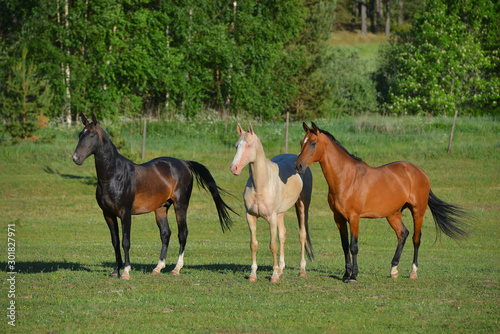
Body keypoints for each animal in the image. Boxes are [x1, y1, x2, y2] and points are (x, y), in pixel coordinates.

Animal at [72, 114, 236, 280]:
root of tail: (184, 163)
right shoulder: (108, 214)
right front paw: (115, 271)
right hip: (161, 208)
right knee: (165, 234)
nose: (76, 158)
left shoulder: (125, 213)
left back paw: (176, 268)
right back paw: (158, 268)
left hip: (180, 205)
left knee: (182, 234)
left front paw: (125, 272)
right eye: (80, 135)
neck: (115, 175)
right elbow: (115, 242)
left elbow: (125, 241)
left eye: (92, 135)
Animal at [229, 123, 312, 282]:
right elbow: (254, 244)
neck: (261, 185)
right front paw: (253, 274)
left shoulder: (271, 217)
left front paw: (273, 276)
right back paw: (281, 269)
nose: (234, 168)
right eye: (236, 146)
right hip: (281, 213)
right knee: (283, 235)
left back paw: (302, 270)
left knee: (302, 235)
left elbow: (273, 245)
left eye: (249, 145)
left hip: (302, 205)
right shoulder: (250, 216)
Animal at [294, 122, 466, 282]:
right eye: (302, 142)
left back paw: (413, 272)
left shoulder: (354, 217)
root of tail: (420, 172)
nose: (298, 166)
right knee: (403, 234)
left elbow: (353, 246)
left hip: (418, 211)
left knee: (416, 238)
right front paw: (345, 275)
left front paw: (353, 276)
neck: (346, 178)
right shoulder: (338, 218)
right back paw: (393, 270)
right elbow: (344, 245)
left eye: (313, 143)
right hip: (393, 214)